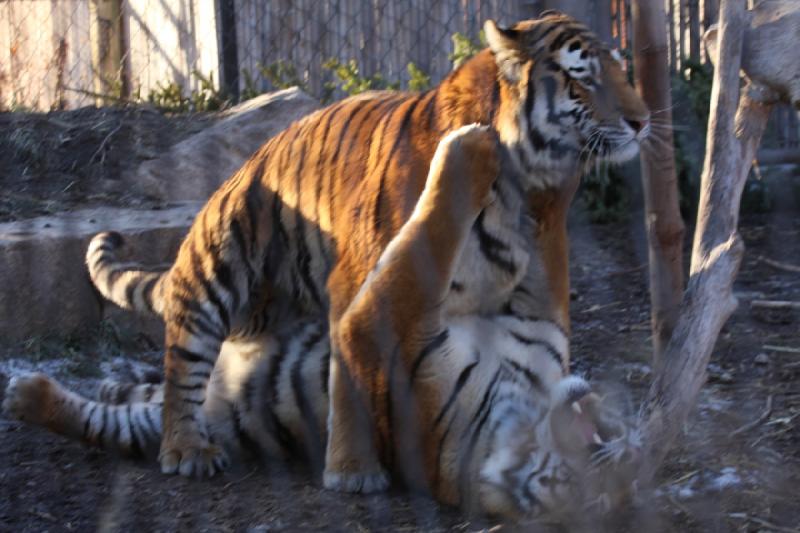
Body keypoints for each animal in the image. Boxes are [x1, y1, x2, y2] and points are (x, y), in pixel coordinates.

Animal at [4, 125, 636, 516]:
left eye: (600, 481)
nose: (627, 436)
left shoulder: (385, 329)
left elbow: (426, 244)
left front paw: (472, 147)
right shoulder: (537, 321)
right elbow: (534, 256)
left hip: (189, 398)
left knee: (128, 417)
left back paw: (28, 396)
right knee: (160, 375)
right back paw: (83, 380)